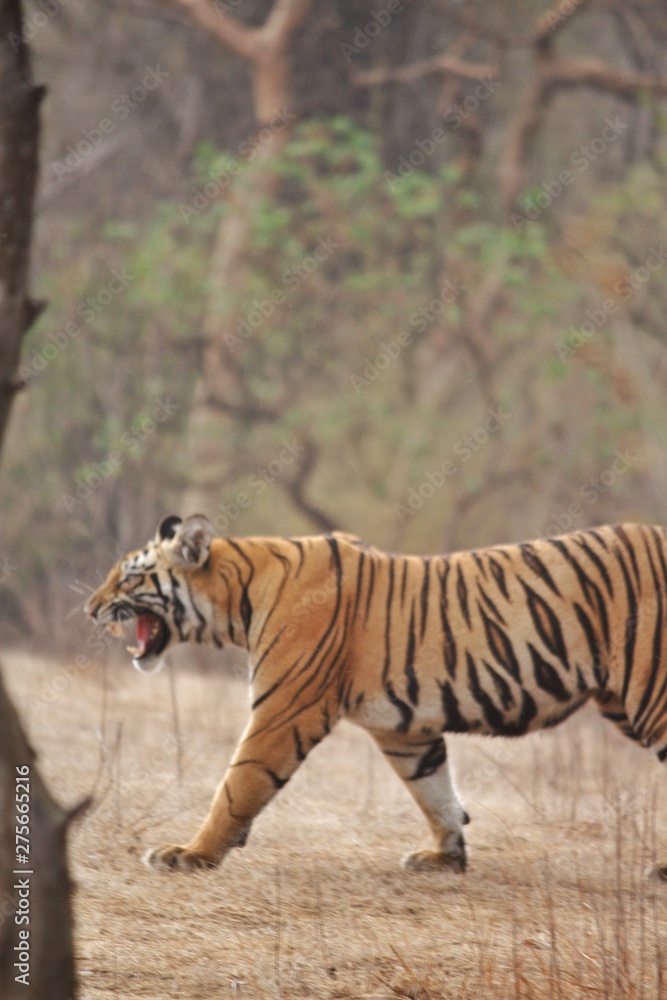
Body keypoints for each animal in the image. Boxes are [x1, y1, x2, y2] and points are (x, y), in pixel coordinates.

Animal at [85, 514, 667, 878]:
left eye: (129, 577)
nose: (90, 608)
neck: (239, 596)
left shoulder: (283, 710)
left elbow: (237, 785)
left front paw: (190, 854)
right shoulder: (404, 730)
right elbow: (435, 794)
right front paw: (445, 858)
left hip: (651, 694)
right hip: (620, 701)